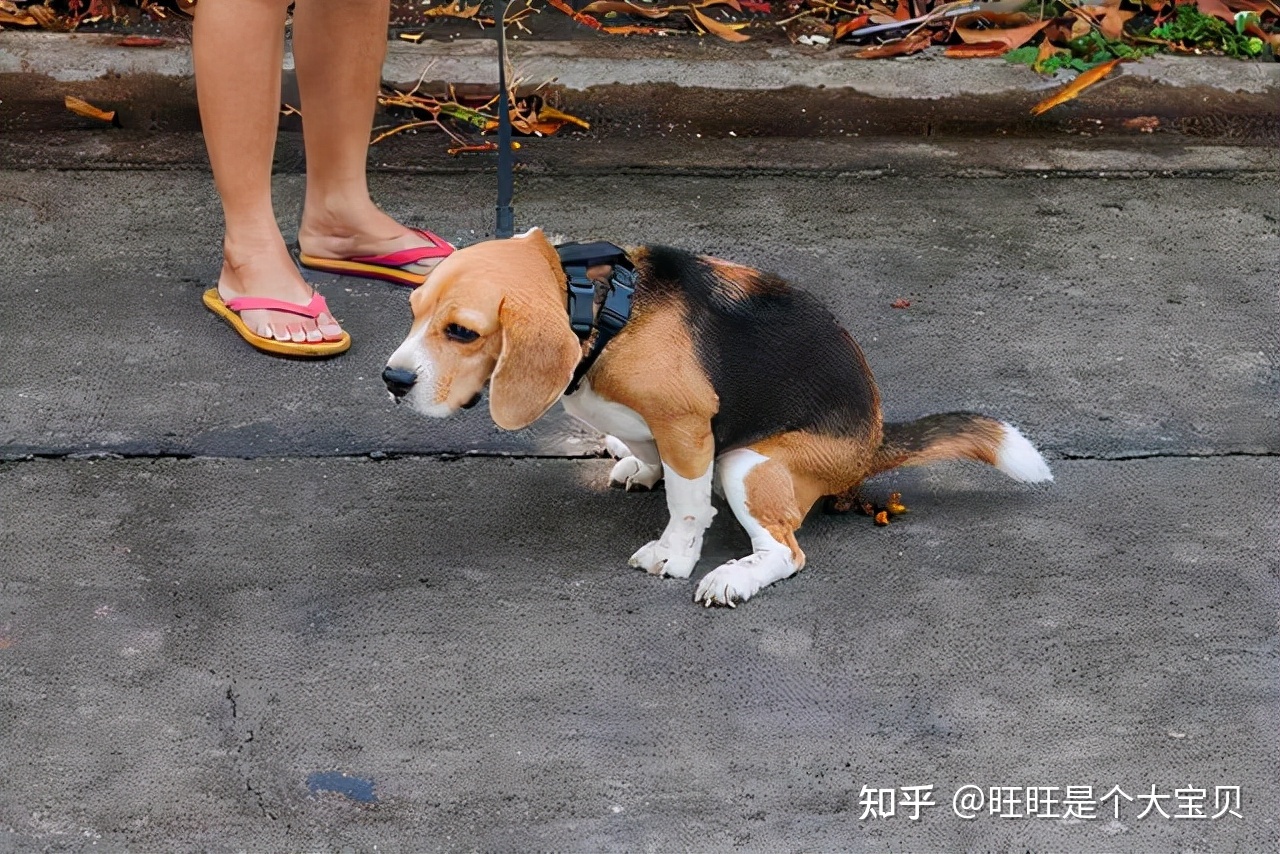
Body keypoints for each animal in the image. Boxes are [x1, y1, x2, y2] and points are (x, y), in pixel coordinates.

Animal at [378, 229, 1049, 606]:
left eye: (462, 332)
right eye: (413, 313)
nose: (392, 380)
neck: (602, 307)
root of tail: (874, 439)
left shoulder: (686, 423)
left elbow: (686, 503)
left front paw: (674, 555)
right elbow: (655, 457)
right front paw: (641, 466)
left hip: (749, 463)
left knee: (785, 551)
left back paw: (735, 578)